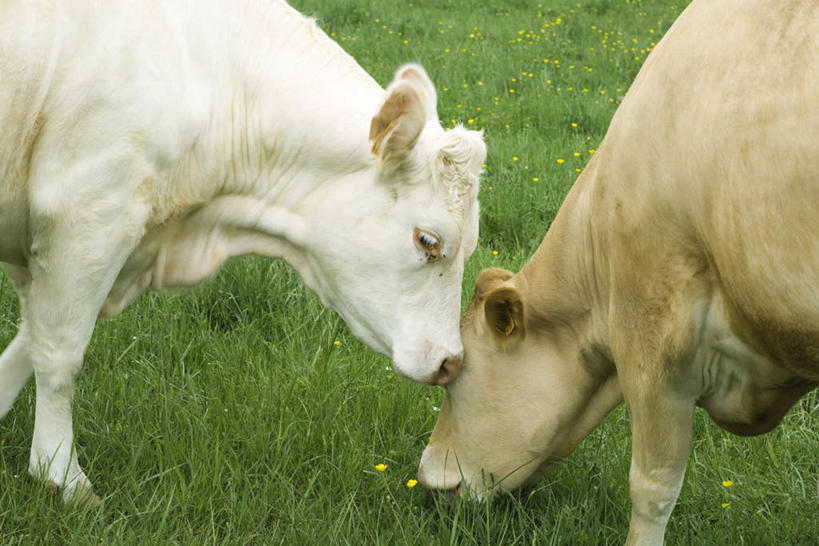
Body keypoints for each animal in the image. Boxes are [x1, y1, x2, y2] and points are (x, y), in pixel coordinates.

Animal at [1, 0, 486, 502]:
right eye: (428, 240)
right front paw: (62, 475)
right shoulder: (88, 216)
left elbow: (30, 340)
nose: (452, 362)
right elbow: (61, 354)